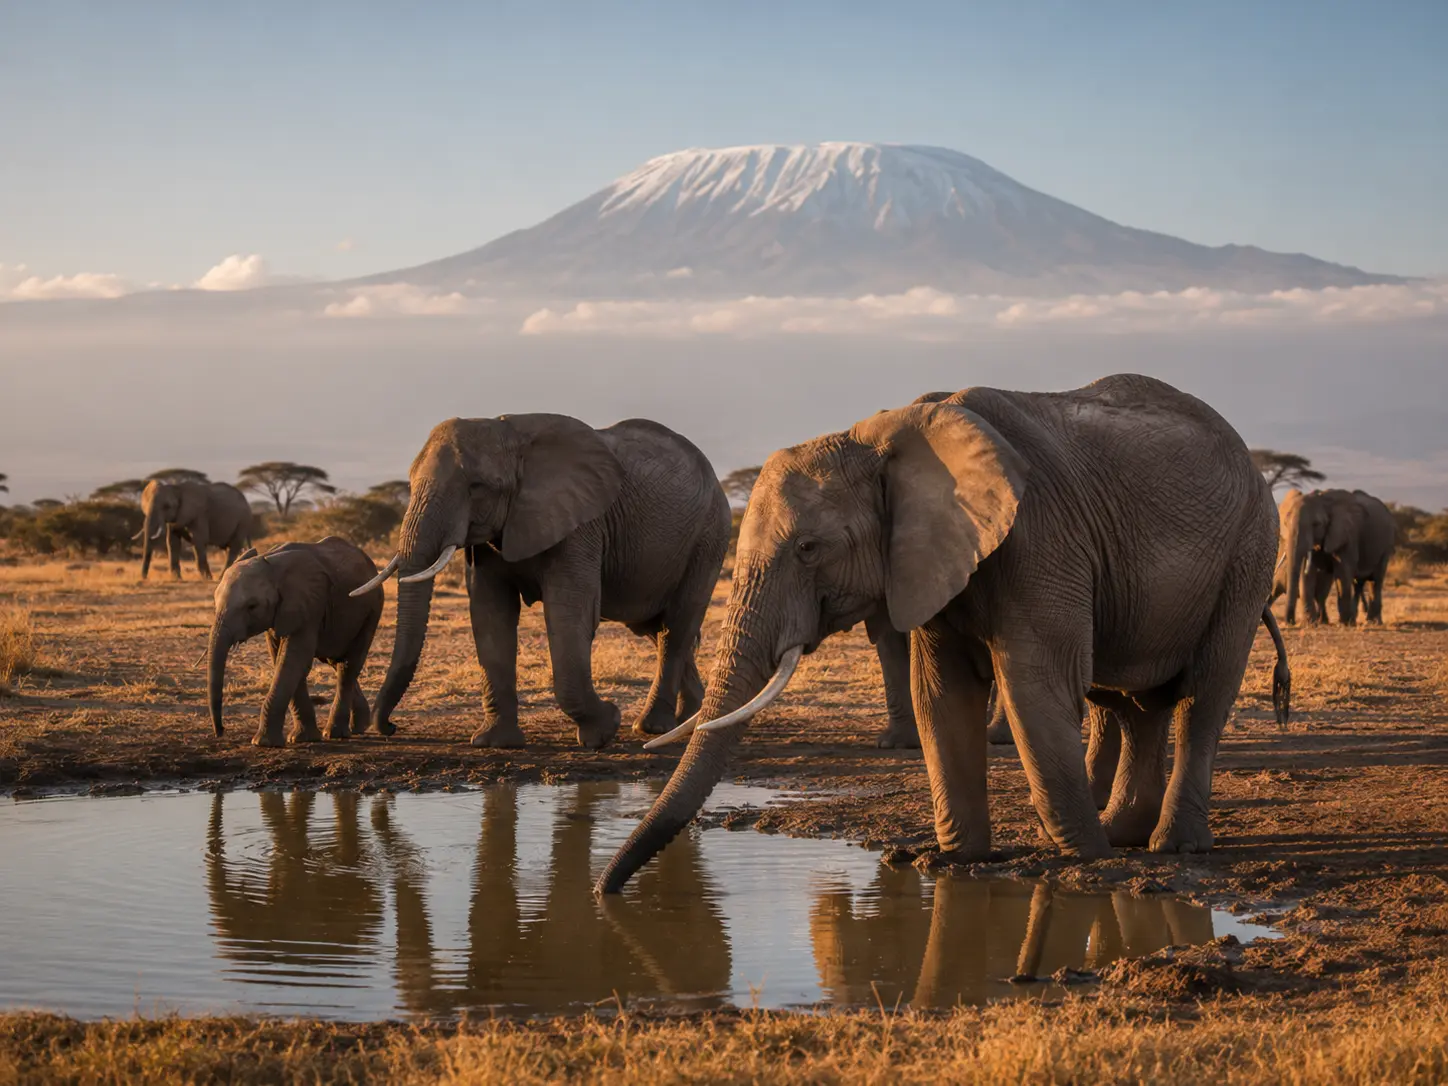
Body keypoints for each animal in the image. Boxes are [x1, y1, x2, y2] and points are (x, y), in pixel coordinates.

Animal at [207, 537, 382, 747]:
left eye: (252, 606)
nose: (220, 731)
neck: (271, 564)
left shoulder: (309, 605)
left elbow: (293, 659)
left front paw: (263, 743)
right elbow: (283, 659)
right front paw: (302, 738)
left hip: (372, 610)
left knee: (349, 666)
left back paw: (335, 733)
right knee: (336, 660)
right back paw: (359, 727)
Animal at [351, 414, 731, 750]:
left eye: (476, 488)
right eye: (410, 483)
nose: (390, 727)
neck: (510, 435)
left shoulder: (581, 525)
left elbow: (569, 614)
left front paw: (604, 729)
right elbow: (490, 614)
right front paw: (495, 743)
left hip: (709, 536)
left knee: (676, 627)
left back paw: (652, 727)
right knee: (655, 629)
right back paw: (692, 718)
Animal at [599, 374, 1291, 894]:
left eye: (808, 549)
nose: (605, 892)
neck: (878, 438)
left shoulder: (1040, 535)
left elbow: (1036, 687)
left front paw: (1084, 860)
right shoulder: (930, 556)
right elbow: (942, 693)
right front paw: (958, 863)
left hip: (1250, 550)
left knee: (1203, 694)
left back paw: (1170, 847)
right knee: (1133, 704)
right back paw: (1126, 835)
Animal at [1274, 487, 1397, 625]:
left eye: (1316, 524)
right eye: (1285, 523)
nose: (1290, 622)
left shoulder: (1348, 536)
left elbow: (1343, 572)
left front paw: (1344, 623)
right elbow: (1307, 574)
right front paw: (1310, 623)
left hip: (1386, 545)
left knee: (1376, 580)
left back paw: (1372, 622)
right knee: (1360, 583)